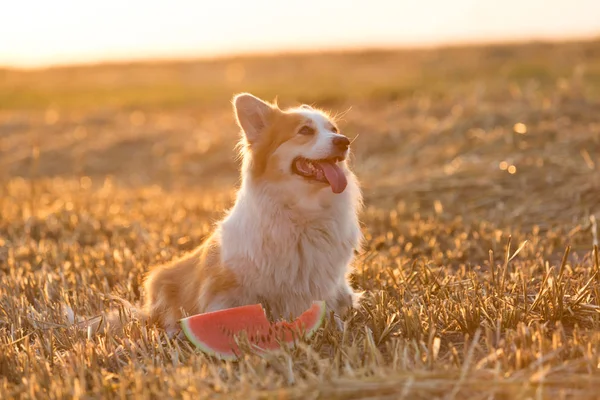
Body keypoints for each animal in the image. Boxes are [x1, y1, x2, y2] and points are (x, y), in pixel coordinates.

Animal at [69, 93, 364, 334]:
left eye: (334, 130)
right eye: (305, 130)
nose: (344, 141)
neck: (303, 214)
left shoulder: (329, 288)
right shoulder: (225, 286)